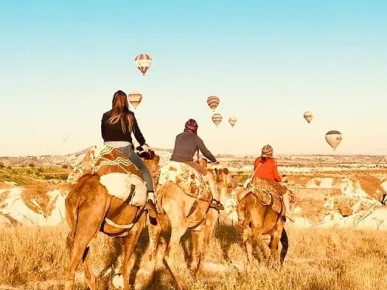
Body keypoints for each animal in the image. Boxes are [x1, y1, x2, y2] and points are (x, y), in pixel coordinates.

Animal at [64, 146, 160, 290]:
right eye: (157, 169)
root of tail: (81, 192)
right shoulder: (135, 230)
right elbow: (126, 268)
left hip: (77, 223)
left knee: (87, 270)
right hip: (86, 228)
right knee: (71, 271)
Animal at [147, 159, 235, 290]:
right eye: (231, 176)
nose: (235, 183)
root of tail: (162, 192)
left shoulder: (196, 229)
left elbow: (195, 252)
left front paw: (194, 273)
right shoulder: (210, 224)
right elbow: (204, 251)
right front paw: (198, 276)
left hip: (154, 223)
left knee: (151, 253)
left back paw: (152, 282)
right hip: (179, 225)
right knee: (168, 255)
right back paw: (181, 284)